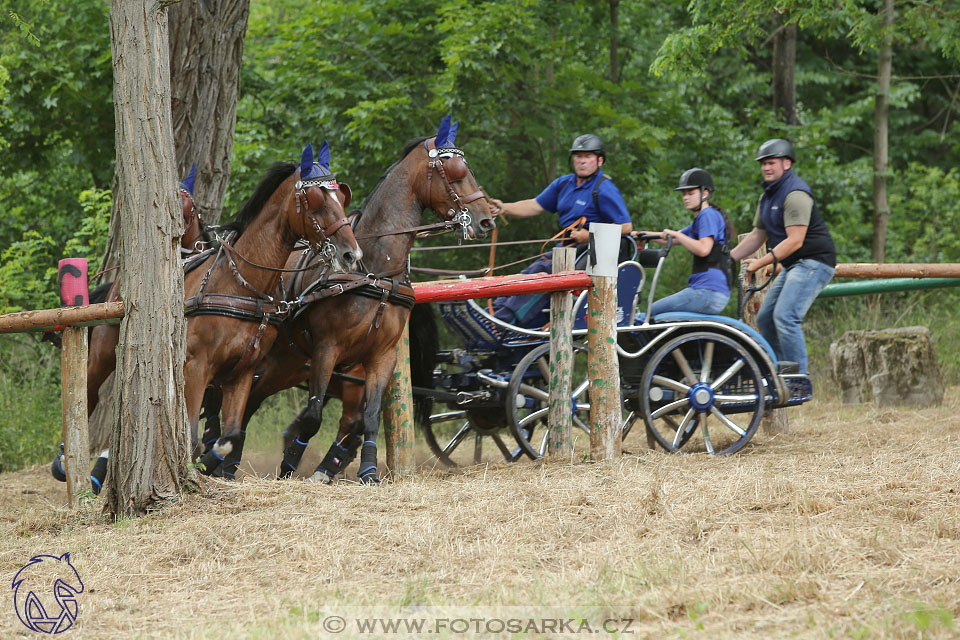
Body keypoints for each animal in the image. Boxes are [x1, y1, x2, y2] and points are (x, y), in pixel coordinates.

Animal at [184, 144, 360, 476]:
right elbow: (189, 435)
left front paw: (211, 464)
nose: (351, 254)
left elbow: (228, 437)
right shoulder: (197, 366)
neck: (241, 285)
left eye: (342, 198)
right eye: (316, 200)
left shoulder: (242, 372)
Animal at [206, 117, 498, 482]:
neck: (375, 269)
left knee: (256, 401)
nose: (487, 219)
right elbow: (314, 415)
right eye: (455, 170)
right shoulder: (326, 349)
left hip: (287, 362)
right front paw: (294, 466)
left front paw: (368, 471)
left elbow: (368, 417)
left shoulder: (381, 355)